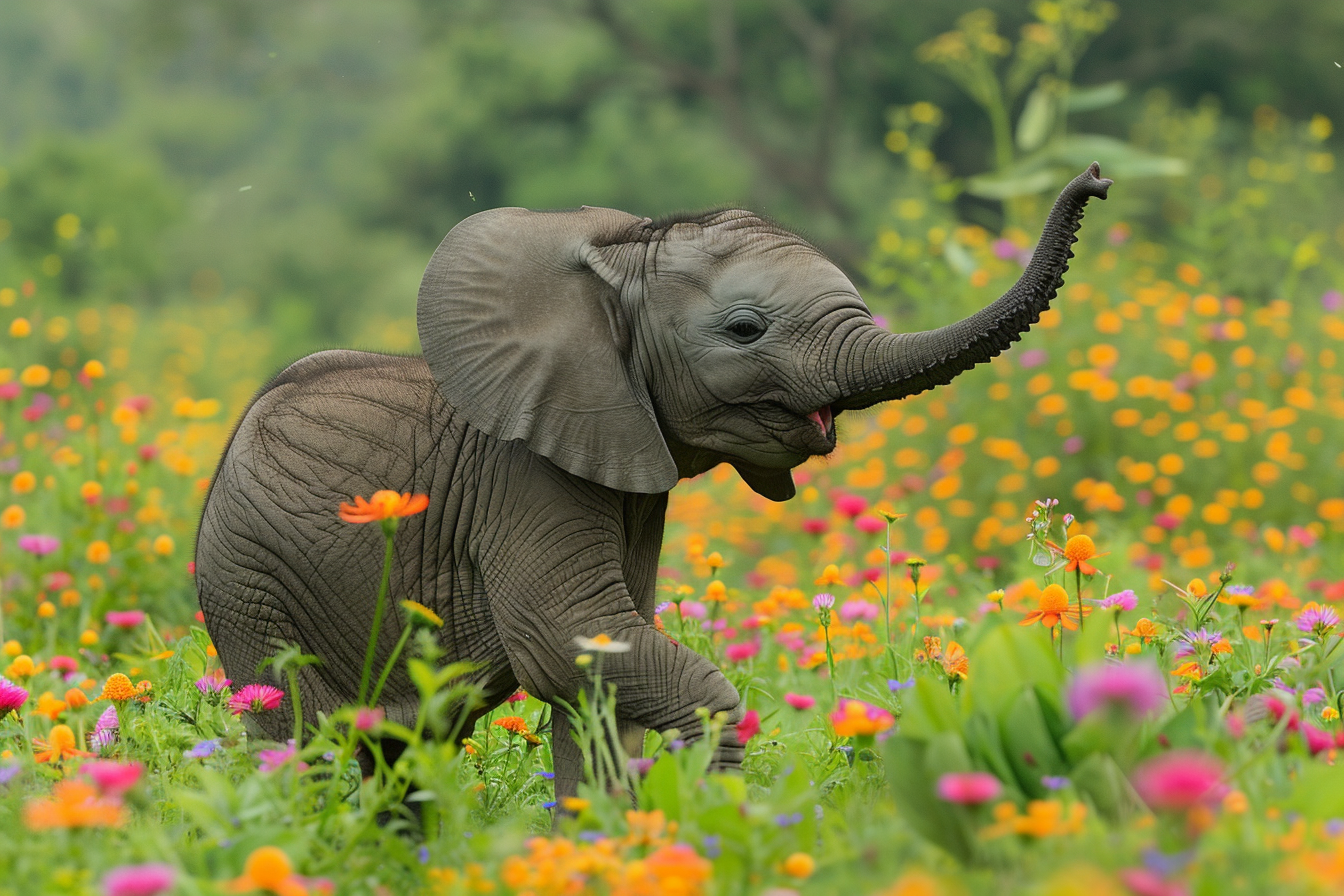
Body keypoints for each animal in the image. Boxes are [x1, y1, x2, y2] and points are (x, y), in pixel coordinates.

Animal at [194, 163, 1110, 799]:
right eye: (745, 330)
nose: (1097, 179)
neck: (613, 268)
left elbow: (597, 665)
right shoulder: (527, 475)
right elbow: (569, 641)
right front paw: (708, 800)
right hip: (252, 590)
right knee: (301, 741)